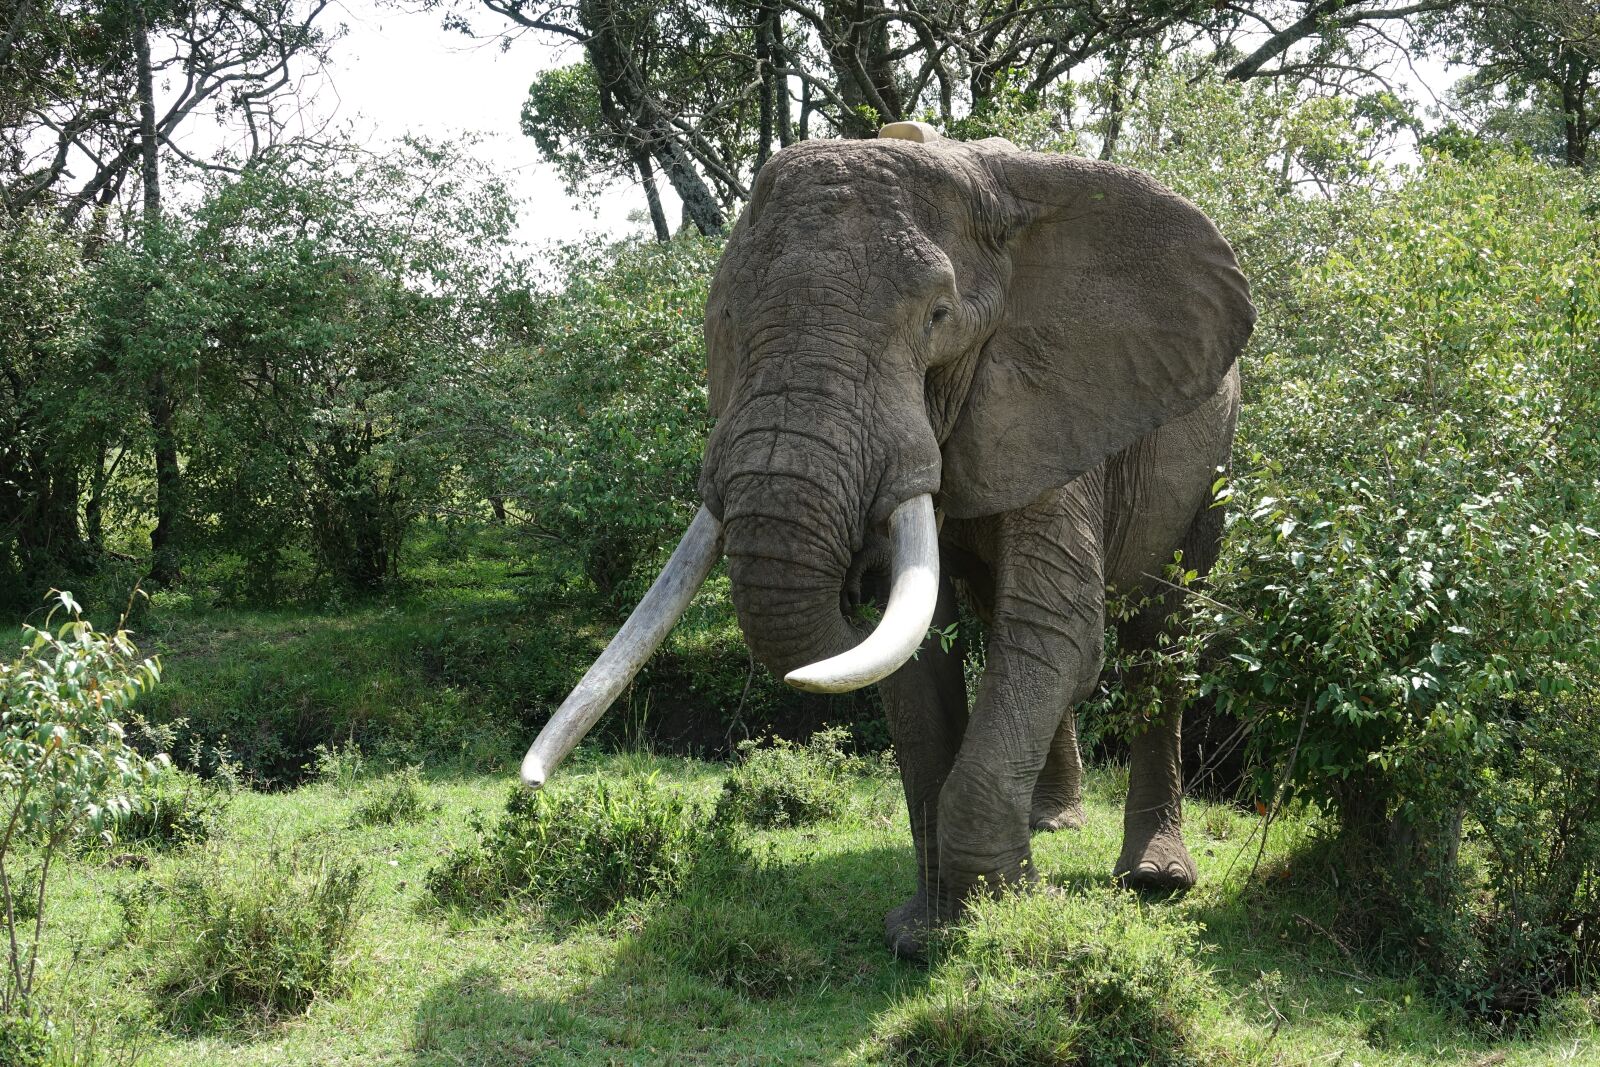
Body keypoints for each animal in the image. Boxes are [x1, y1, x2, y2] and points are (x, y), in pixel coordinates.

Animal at [520, 121, 1256, 958]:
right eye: (725, 322)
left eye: (937, 316)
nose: (852, 574)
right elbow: (916, 652)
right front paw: (932, 930)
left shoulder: (1054, 391)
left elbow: (1056, 629)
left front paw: (1001, 915)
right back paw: (1052, 822)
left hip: (1214, 455)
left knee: (1161, 637)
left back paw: (1155, 877)